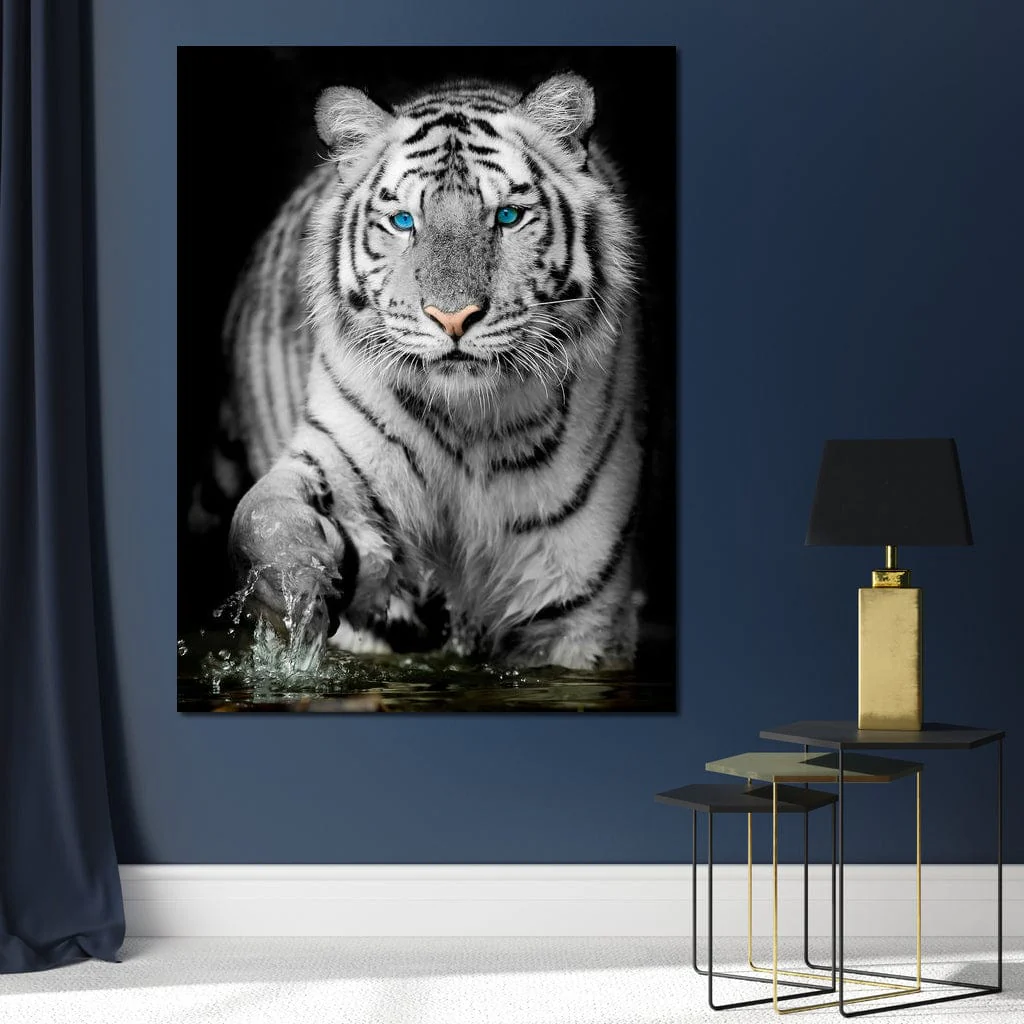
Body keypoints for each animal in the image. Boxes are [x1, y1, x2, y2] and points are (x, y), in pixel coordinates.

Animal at [199, 72, 646, 669]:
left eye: (507, 217)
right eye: (404, 221)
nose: (452, 318)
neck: (471, 425)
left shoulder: (579, 610)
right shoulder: (340, 460)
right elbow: (263, 514)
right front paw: (296, 590)